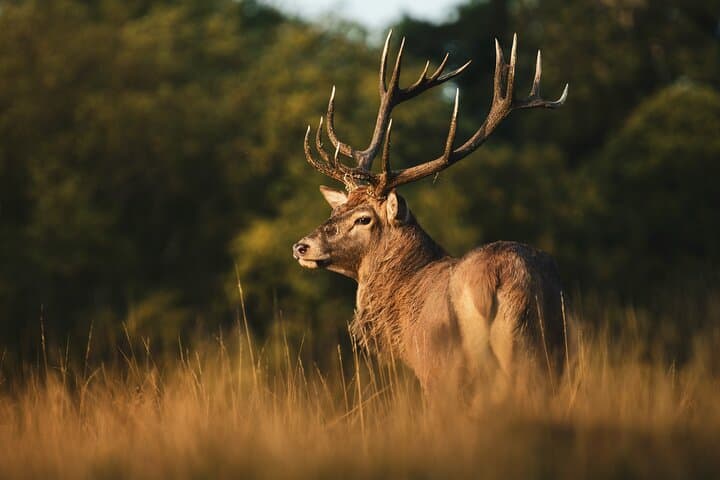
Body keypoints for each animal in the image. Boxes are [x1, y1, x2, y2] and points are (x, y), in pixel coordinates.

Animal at [293, 32, 570, 399]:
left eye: (364, 218)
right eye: (336, 208)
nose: (301, 246)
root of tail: (497, 279)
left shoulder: (430, 372)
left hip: (451, 366)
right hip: (550, 356)